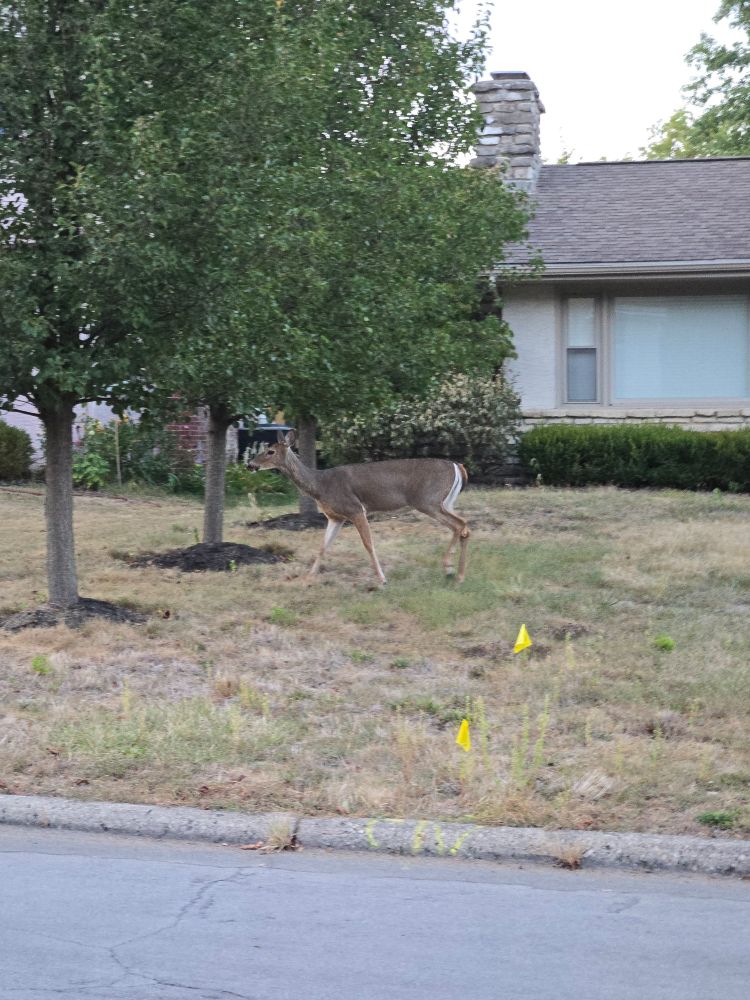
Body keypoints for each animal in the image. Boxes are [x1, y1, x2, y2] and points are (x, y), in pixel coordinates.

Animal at [248, 431, 470, 585]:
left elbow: (368, 544)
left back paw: (452, 571)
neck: (320, 485)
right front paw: (309, 577)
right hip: (444, 502)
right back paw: (456, 573)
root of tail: (458, 466)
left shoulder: (355, 509)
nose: (250, 464)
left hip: (428, 500)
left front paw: (382, 579)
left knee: (460, 524)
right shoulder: (335, 517)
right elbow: (323, 546)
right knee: (463, 527)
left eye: (270, 451)